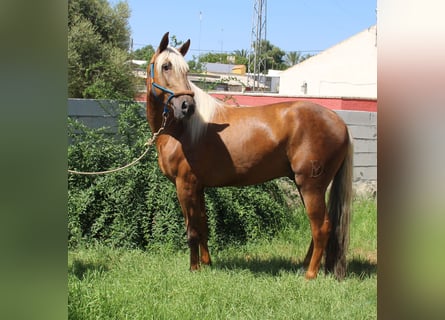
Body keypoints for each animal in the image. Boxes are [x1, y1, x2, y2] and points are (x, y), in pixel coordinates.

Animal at [146, 31, 350, 278]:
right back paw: (304, 266)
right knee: (318, 226)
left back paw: (310, 275)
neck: (181, 130)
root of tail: (338, 121)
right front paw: (206, 263)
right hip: (307, 187)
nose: (187, 106)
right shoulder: (198, 187)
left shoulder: (184, 185)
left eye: (185, 70)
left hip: (311, 186)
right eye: (166, 66)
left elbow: (192, 229)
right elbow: (203, 225)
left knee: (321, 227)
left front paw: (194, 268)